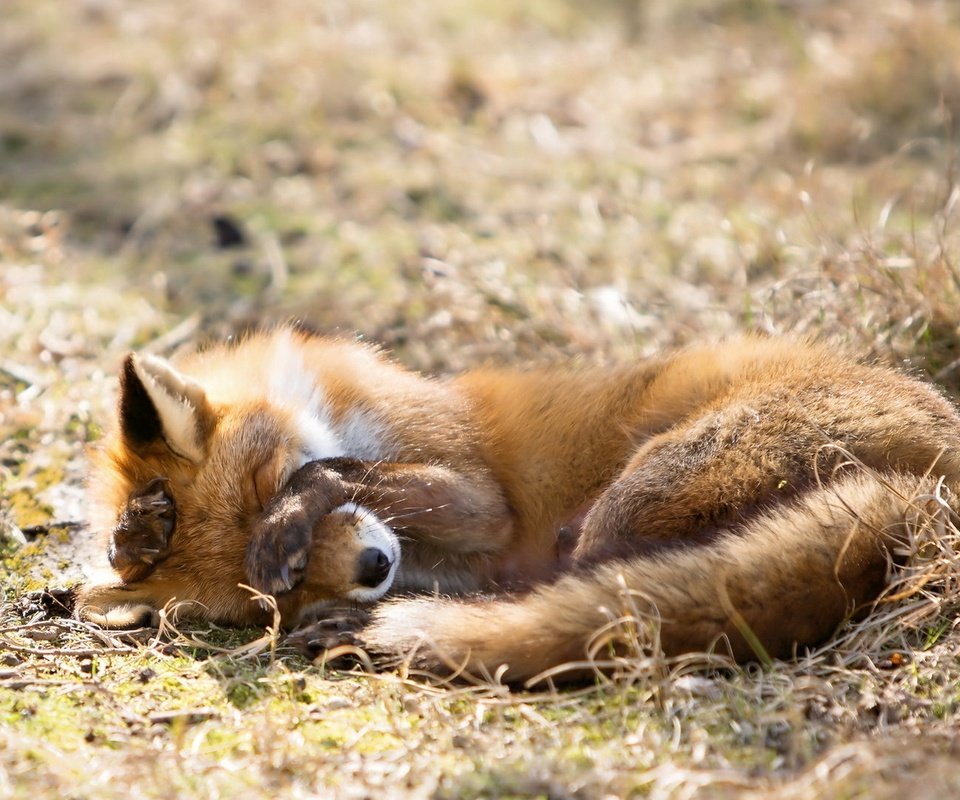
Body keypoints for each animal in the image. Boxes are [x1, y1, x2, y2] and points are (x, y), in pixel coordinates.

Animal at [73, 328, 960, 684]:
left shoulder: (476, 493)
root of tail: (926, 490)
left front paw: (283, 516)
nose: (373, 566)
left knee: (595, 593)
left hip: (637, 494)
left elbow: (332, 467)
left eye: (265, 484)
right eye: (275, 602)